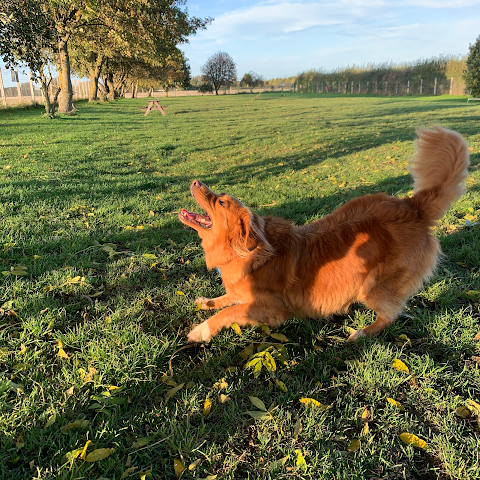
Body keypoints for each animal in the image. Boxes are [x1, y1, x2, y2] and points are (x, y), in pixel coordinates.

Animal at [179, 127, 468, 344]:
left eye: (221, 202)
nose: (195, 182)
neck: (248, 253)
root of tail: (412, 206)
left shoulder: (272, 308)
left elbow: (231, 311)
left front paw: (201, 330)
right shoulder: (243, 291)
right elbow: (227, 298)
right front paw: (206, 301)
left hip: (375, 287)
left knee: (390, 316)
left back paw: (361, 334)